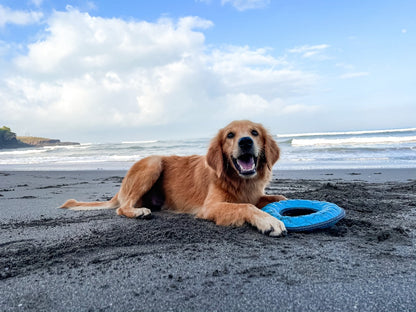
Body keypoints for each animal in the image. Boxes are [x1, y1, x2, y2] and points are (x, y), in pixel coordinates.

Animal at [61, 120, 288, 236]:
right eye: (230, 135)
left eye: (255, 132)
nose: (246, 142)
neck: (241, 181)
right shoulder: (210, 207)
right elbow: (245, 206)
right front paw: (269, 220)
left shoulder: (255, 194)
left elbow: (278, 198)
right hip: (153, 163)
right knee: (121, 208)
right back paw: (139, 212)